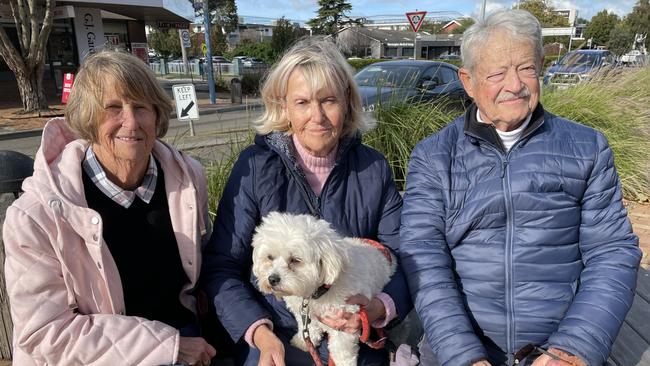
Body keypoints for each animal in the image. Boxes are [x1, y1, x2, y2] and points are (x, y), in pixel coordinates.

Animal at [252, 212, 394, 366]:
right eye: (270, 257)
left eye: (295, 260)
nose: (272, 279)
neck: (317, 292)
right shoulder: (306, 314)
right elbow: (309, 328)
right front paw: (303, 342)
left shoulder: (345, 323)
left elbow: (342, 351)